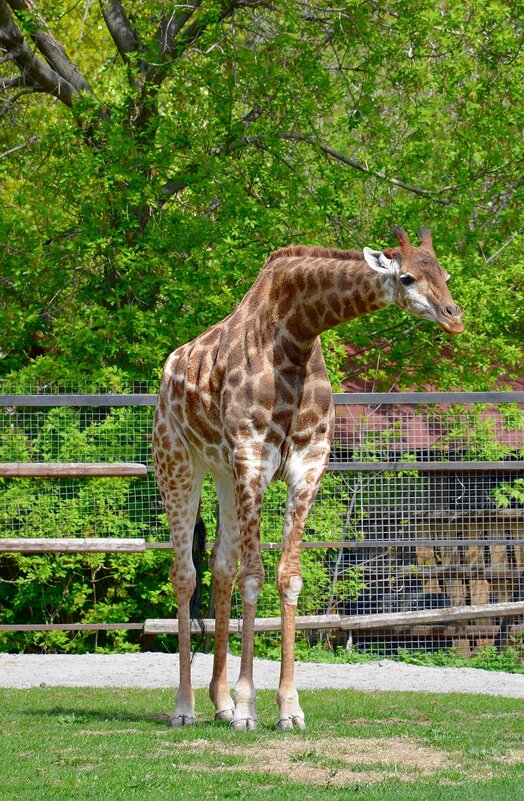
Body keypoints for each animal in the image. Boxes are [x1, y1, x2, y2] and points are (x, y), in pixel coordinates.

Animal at [151, 222, 462, 728]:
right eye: (409, 277)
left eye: (446, 275)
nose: (454, 318)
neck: (295, 334)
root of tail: (169, 368)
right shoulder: (253, 458)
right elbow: (254, 576)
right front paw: (247, 708)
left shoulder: (308, 465)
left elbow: (287, 577)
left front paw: (288, 708)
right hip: (176, 460)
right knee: (185, 573)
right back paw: (185, 708)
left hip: (222, 473)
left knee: (219, 566)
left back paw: (218, 702)